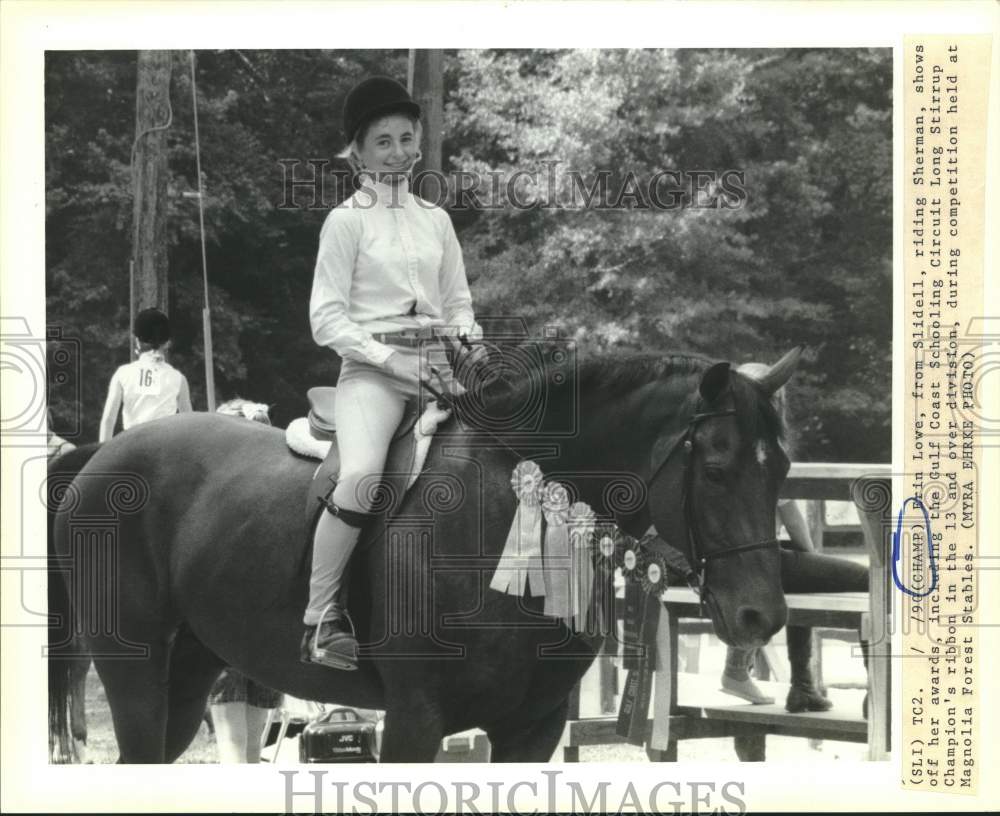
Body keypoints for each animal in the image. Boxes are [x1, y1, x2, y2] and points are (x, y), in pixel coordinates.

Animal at [52, 348, 804, 760]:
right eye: (716, 469)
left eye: (783, 470)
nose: (761, 617)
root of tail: (102, 456)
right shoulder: (415, 721)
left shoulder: (532, 728)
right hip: (134, 671)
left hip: (189, 673)